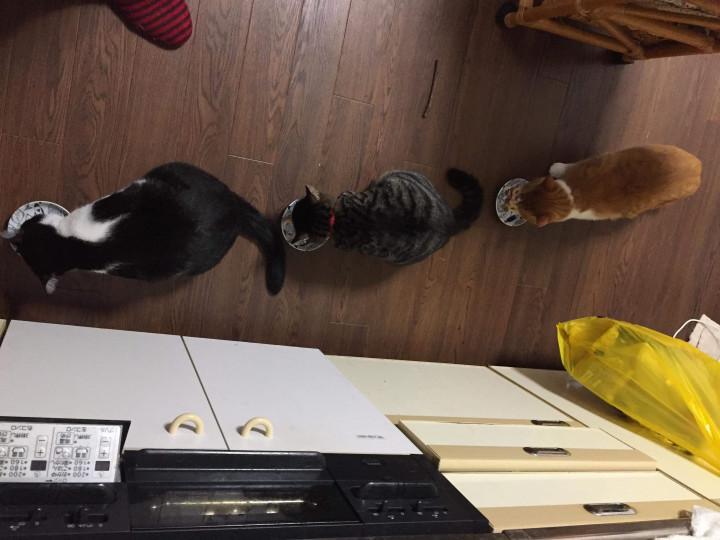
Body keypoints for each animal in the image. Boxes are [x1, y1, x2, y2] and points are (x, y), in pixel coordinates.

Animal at [2, 162, 286, 294]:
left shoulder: (116, 200)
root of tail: (234, 211)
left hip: (176, 170)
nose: (29, 218)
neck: (71, 247)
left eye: (30, 223)